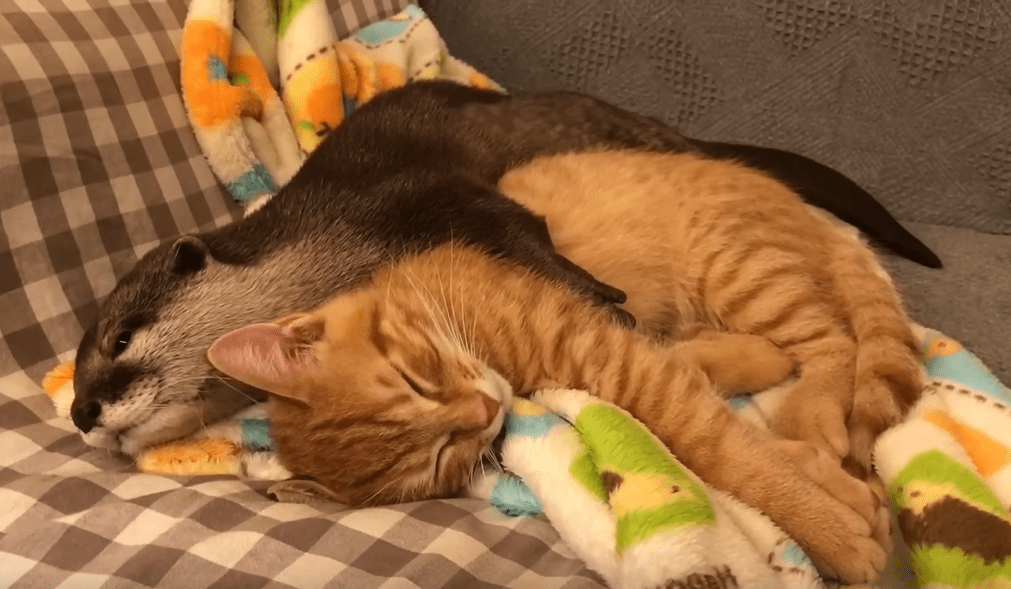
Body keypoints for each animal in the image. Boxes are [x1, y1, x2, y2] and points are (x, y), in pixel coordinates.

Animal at [209, 243, 889, 585]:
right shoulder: (629, 366)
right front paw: (839, 499)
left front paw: (832, 529)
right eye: (438, 459)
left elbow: (730, 452)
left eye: (413, 381)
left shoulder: (617, 356)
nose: (487, 409)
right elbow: (734, 434)